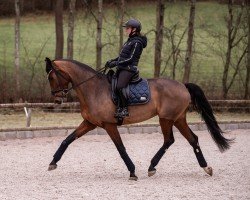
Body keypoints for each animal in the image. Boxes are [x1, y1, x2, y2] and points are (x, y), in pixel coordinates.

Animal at [45, 57, 232, 180]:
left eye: (52, 77)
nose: (57, 100)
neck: (93, 89)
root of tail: (183, 86)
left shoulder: (109, 124)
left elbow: (121, 148)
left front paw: (132, 171)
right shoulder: (90, 123)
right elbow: (67, 140)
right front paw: (53, 162)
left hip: (166, 119)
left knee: (169, 140)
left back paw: (153, 167)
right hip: (178, 119)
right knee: (192, 139)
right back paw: (205, 167)